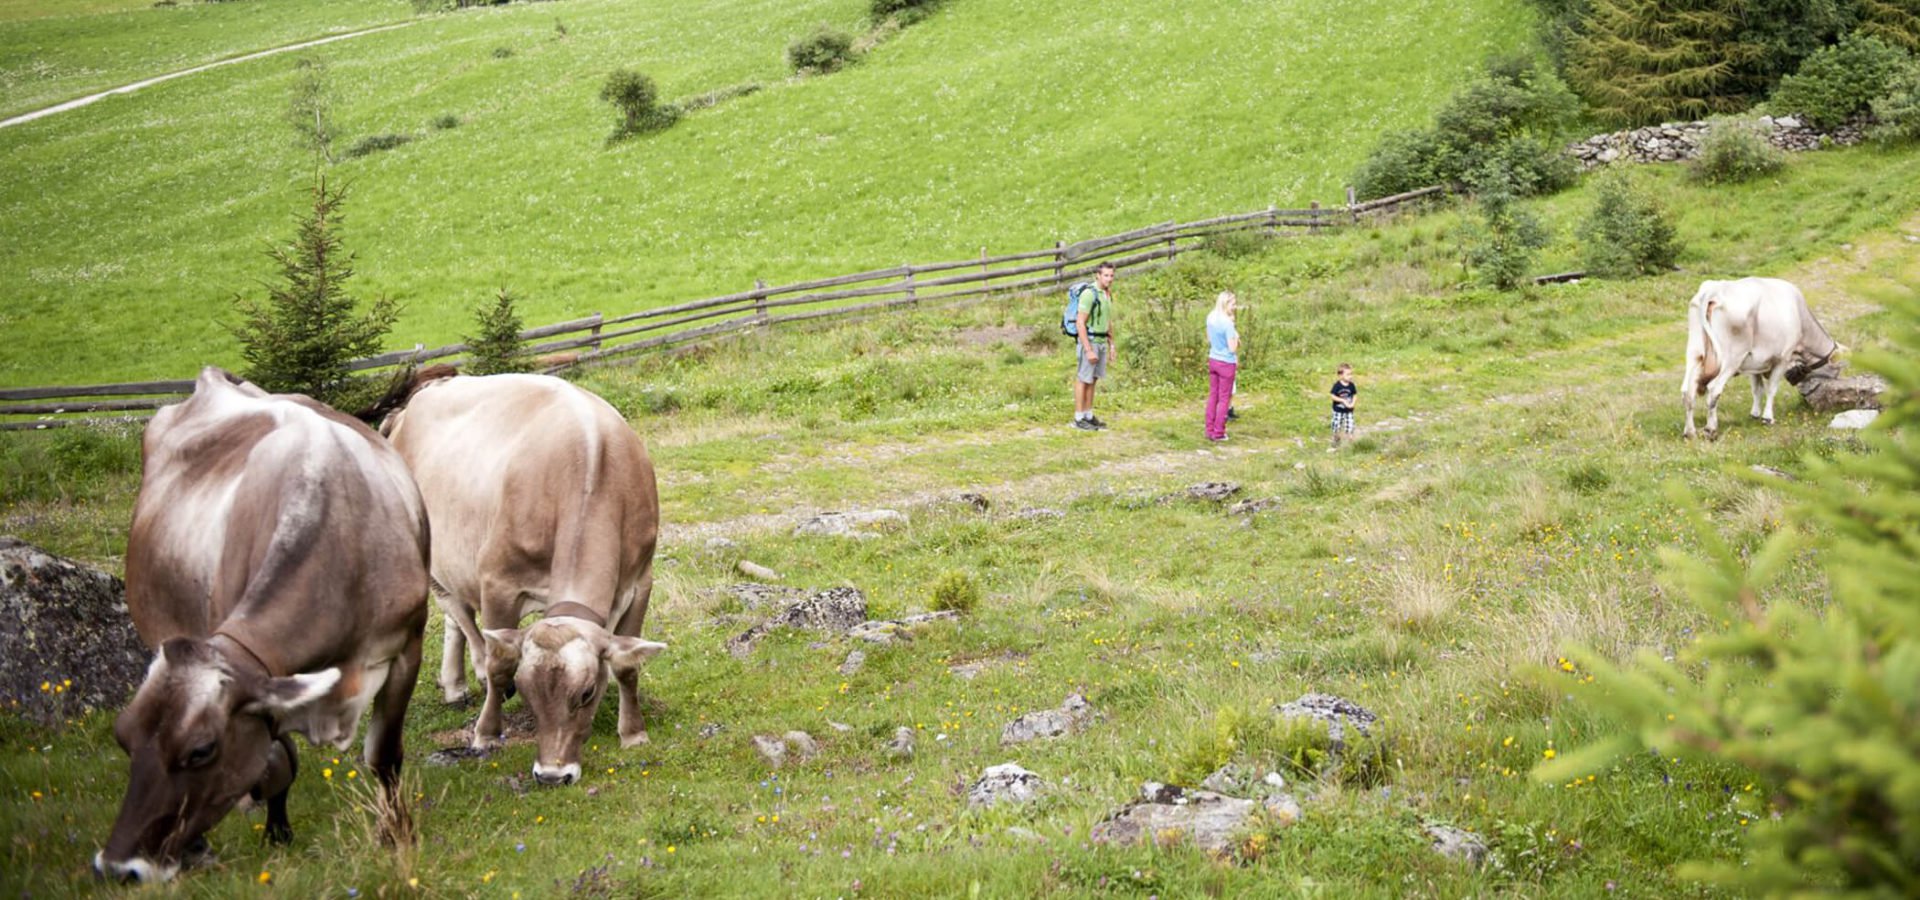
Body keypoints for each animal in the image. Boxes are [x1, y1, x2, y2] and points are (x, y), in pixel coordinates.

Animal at [94, 366, 432, 882]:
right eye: (123, 737)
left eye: (201, 750)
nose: (117, 867)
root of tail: (211, 379)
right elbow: (277, 764)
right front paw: (275, 830)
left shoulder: (406, 647)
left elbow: (384, 756)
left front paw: (396, 835)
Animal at [382, 368, 668, 782]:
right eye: (528, 691)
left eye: (586, 693)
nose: (552, 774)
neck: (589, 461)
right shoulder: (497, 582)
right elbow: (501, 664)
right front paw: (486, 732)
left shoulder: (640, 579)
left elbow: (628, 666)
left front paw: (633, 733)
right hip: (427, 557)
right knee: (458, 612)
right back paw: (473, 672)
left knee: (455, 616)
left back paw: (454, 685)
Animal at [1681, 276, 1843, 439]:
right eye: (1835, 372)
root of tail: (1714, 290)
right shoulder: (1782, 359)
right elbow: (1771, 389)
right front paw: (1768, 418)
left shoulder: (1755, 363)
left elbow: (1757, 389)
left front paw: (1755, 413)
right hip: (1732, 358)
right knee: (1714, 389)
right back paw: (1711, 429)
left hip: (1694, 353)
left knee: (1688, 391)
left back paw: (1690, 432)